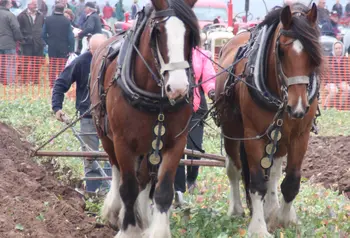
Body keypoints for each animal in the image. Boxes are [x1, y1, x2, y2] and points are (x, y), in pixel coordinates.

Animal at [88, 0, 200, 236]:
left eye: (190, 34)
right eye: (158, 32)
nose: (178, 88)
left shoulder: (175, 143)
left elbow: (163, 190)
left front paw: (156, 230)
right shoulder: (123, 142)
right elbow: (128, 187)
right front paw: (128, 229)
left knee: (145, 179)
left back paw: (143, 218)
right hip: (105, 133)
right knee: (117, 171)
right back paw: (116, 212)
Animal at [216, 2, 322, 236]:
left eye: (314, 53)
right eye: (281, 51)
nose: (297, 107)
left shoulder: (300, 136)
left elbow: (290, 181)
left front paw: (282, 219)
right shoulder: (253, 135)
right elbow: (256, 183)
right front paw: (258, 227)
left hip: (280, 136)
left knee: (273, 172)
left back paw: (272, 208)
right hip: (231, 130)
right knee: (234, 169)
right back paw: (236, 209)